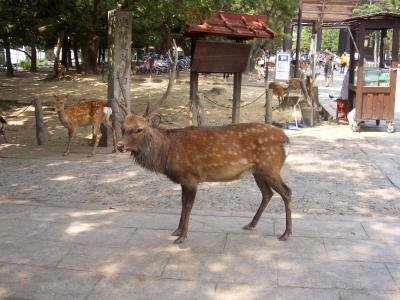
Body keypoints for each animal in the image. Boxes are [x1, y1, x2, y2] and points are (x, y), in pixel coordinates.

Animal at [117, 105, 292, 244]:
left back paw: (286, 234)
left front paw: (182, 237)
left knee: (287, 192)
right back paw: (251, 224)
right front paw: (177, 231)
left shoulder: (191, 176)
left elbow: (188, 206)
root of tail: (285, 138)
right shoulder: (184, 179)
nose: (120, 145)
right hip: (258, 171)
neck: (167, 153)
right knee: (267, 193)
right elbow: (182, 204)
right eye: (123, 128)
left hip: (270, 167)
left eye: (139, 129)